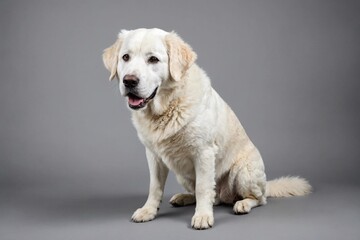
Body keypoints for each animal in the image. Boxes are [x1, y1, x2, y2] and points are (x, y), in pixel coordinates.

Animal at [102, 28, 310, 231]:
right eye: (125, 57)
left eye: (153, 59)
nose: (129, 81)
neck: (167, 107)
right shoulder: (153, 156)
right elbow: (155, 187)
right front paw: (148, 211)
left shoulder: (203, 153)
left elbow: (203, 188)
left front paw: (202, 216)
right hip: (182, 174)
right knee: (211, 196)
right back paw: (184, 197)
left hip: (243, 172)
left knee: (259, 198)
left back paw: (243, 204)